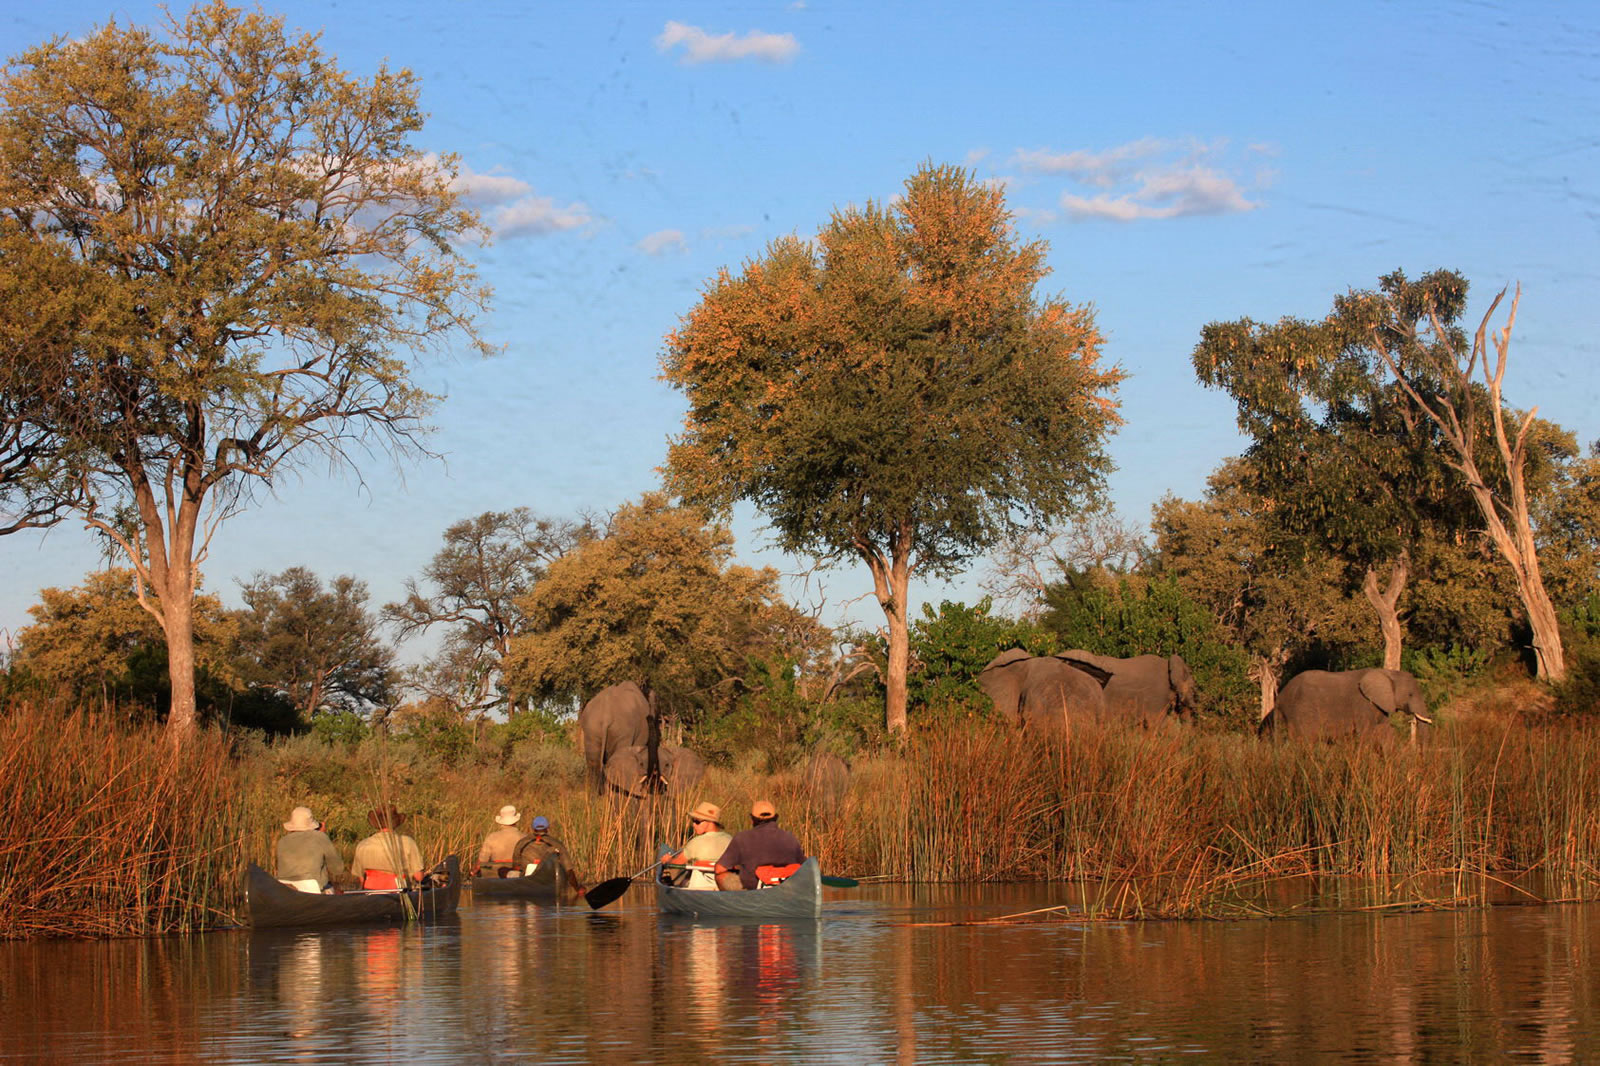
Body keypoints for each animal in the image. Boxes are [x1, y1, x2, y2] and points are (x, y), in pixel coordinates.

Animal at [1260, 665, 1440, 739]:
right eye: (1410, 694)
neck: (1388, 673)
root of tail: (1280, 698)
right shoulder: (1364, 705)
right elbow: (1365, 733)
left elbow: (1385, 733)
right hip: (1299, 713)